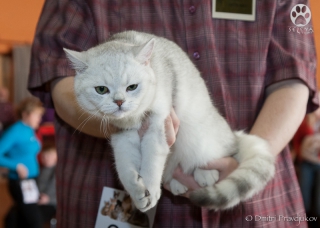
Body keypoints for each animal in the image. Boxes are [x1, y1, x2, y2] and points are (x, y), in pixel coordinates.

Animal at [64, 29, 276, 212]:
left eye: (132, 87)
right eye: (101, 89)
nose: (119, 102)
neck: (132, 121)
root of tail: (233, 136)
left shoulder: (158, 126)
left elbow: (151, 163)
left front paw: (150, 190)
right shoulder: (122, 137)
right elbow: (125, 169)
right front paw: (138, 193)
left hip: (201, 135)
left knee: (222, 153)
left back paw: (205, 173)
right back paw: (176, 184)